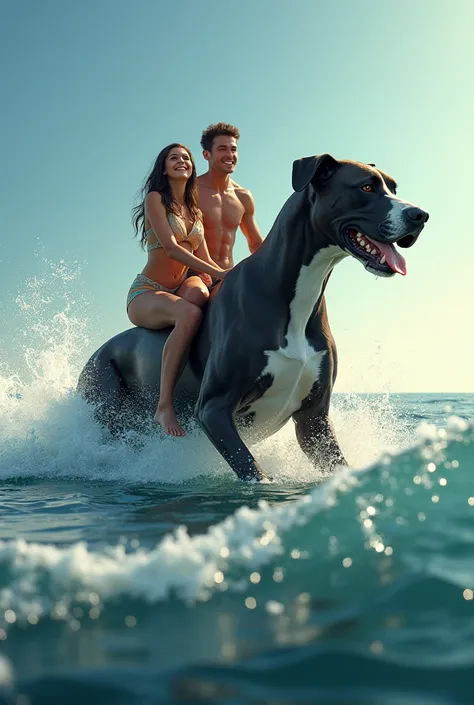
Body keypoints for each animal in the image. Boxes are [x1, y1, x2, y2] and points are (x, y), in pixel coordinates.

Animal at [76, 155, 428, 478]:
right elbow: (254, 473)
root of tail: (96, 352)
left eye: (393, 187)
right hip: (104, 393)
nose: (420, 215)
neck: (292, 296)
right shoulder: (213, 409)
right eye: (366, 187)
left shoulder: (313, 420)